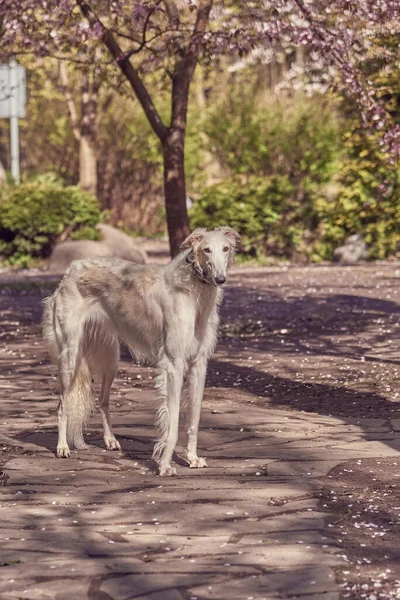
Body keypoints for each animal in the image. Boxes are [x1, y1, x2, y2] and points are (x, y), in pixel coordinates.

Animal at [42, 227, 239, 476]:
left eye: (226, 248)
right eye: (206, 250)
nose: (220, 279)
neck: (193, 291)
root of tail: (70, 270)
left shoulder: (199, 364)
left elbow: (193, 419)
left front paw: (193, 458)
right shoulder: (174, 363)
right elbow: (173, 420)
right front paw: (164, 465)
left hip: (111, 360)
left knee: (103, 400)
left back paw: (110, 440)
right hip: (70, 356)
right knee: (62, 405)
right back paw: (62, 446)